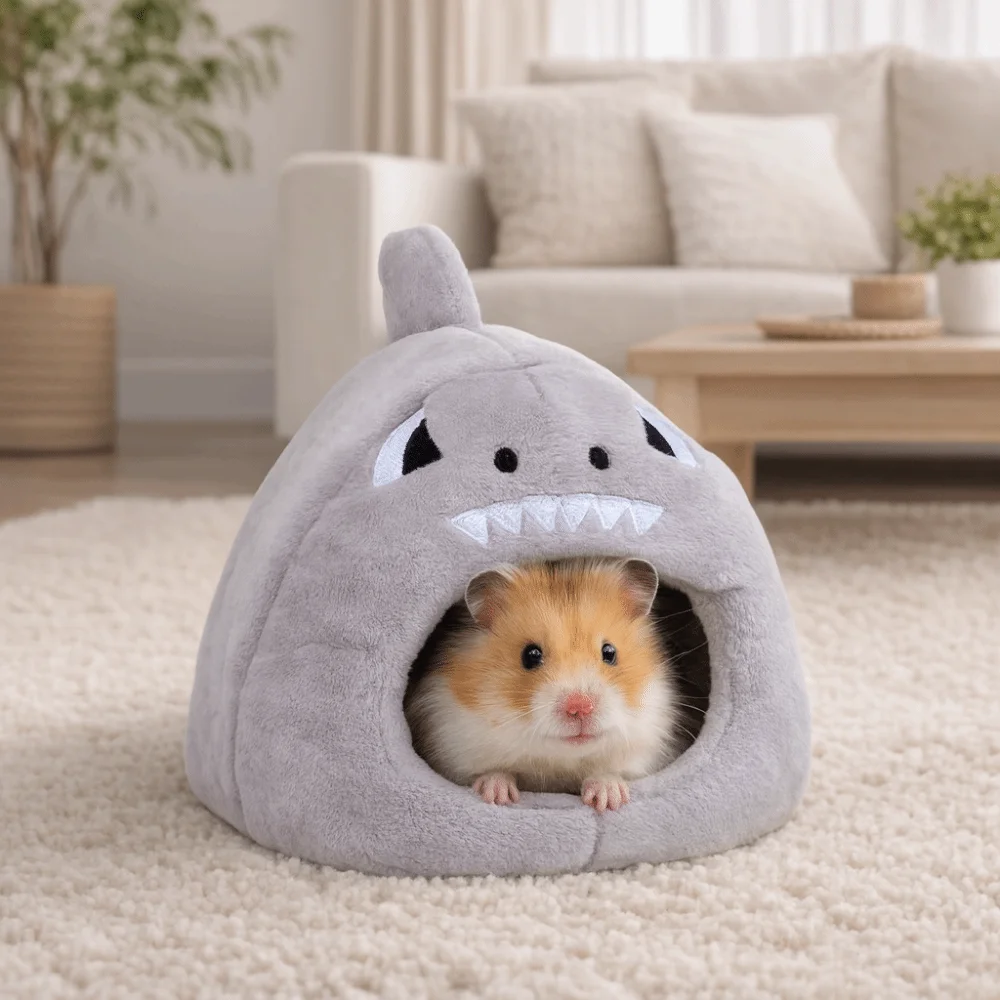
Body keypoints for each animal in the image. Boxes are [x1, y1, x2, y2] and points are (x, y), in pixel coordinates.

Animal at [404, 557, 680, 813]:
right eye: (531, 655)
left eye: (609, 652)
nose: (580, 708)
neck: (558, 760)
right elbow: (491, 771)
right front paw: (498, 795)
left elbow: (608, 771)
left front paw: (607, 800)